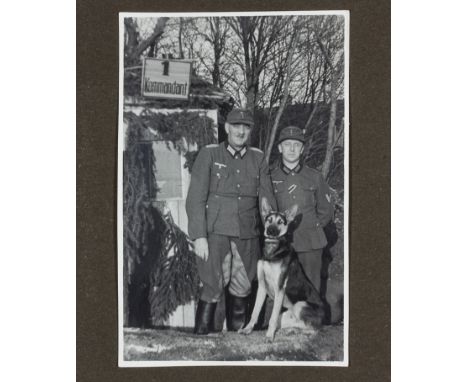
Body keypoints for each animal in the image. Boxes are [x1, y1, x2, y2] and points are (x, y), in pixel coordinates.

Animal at [239, 197, 324, 340]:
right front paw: (247, 329)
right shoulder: (262, 286)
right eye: (269, 220)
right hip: (285, 315)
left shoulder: (280, 288)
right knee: (299, 324)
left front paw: (269, 336)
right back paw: (290, 330)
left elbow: (271, 318)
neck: (272, 252)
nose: (271, 231)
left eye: (280, 222)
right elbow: (255, 312)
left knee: (315, 329)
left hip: (300, 305)